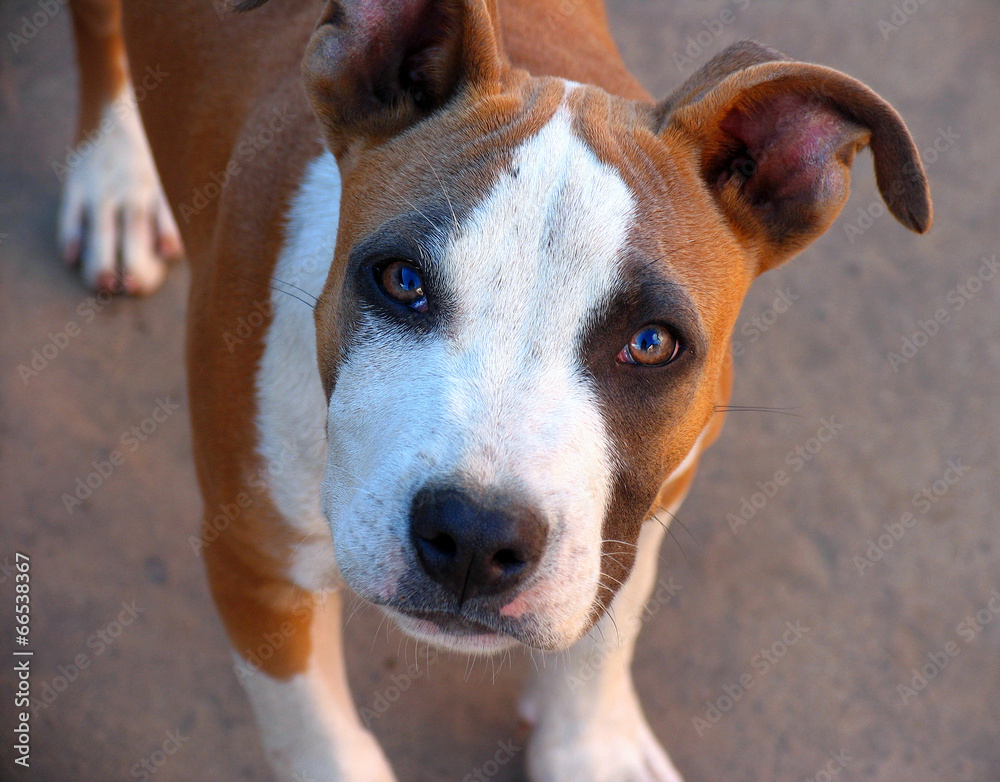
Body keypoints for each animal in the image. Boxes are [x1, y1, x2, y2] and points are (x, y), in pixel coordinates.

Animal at [58, 0, 932, 776]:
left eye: (651, 344)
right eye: (402, 281)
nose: (476, 536)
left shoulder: (646, 502)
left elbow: (605, 632)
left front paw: (591, 753)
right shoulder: (256, 563)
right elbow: (320, 745)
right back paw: (114, 177)